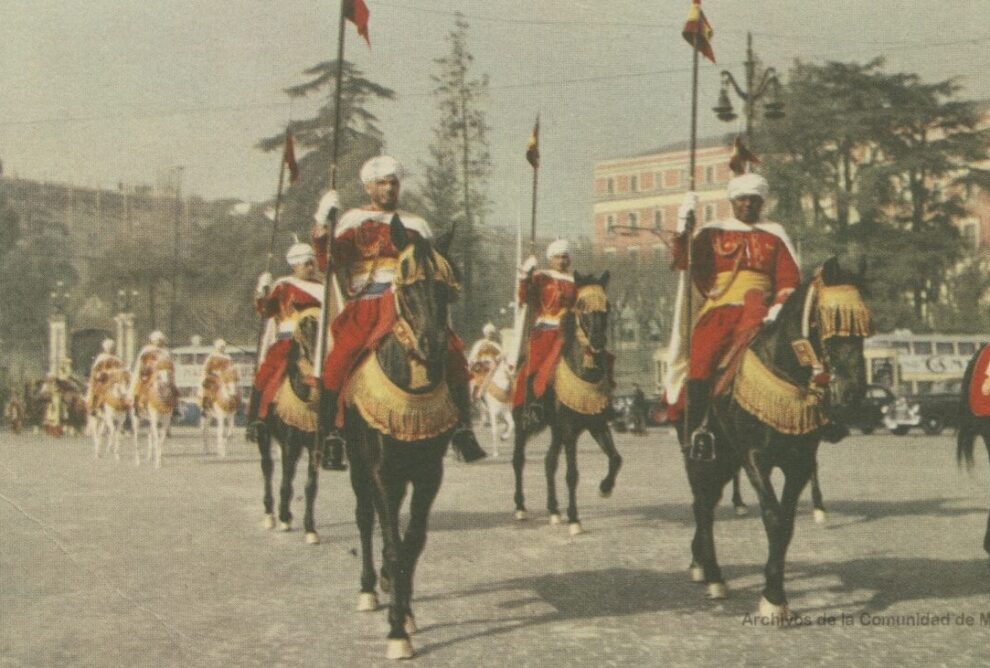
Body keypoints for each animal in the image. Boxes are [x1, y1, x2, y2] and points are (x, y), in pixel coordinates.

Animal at [256, 310, 322, 544]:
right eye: (304, 329)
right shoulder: (290, 444)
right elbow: (286, 480)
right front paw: (285, 517)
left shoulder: (315, 447)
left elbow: (310, 487)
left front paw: (310, 528)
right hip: (264, 436)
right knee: (267, 468)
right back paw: (270, 514)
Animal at [338, 217, 464, 660]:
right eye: (408, 288)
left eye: (446, 288)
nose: (433, 346)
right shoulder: (380, 470)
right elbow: (392, 542)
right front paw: (395, 631)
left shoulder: (428, 473)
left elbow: (413, 542)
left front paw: (405, 612)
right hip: (360, 469)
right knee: (365, 519)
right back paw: (368, 588)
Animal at [516, 268, 624, 536]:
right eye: (581, 305)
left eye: (606, 305)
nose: (597, 341)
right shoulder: (568, 428)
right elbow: (572, 474)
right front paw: (575, 519)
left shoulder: (595, 424)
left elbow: (615, 458)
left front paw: (605, 488)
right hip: (523, 424)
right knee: (518, 461)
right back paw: (520, 507)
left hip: (556, 430)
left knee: (549, 461)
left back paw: (554, 510)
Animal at [684, 258, 872, 620]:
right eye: (825, 319)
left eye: (865, 324)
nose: (852, 394)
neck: (787, 372)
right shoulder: (755, 457)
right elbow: (772, 517)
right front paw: (772, 600)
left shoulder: (798, 462)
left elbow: (786, 523)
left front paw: (775, 593)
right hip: (706, 456)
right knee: (703, 506)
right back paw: (713, 575)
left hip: (727, 461)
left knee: (706, 504)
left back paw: (700, 563)